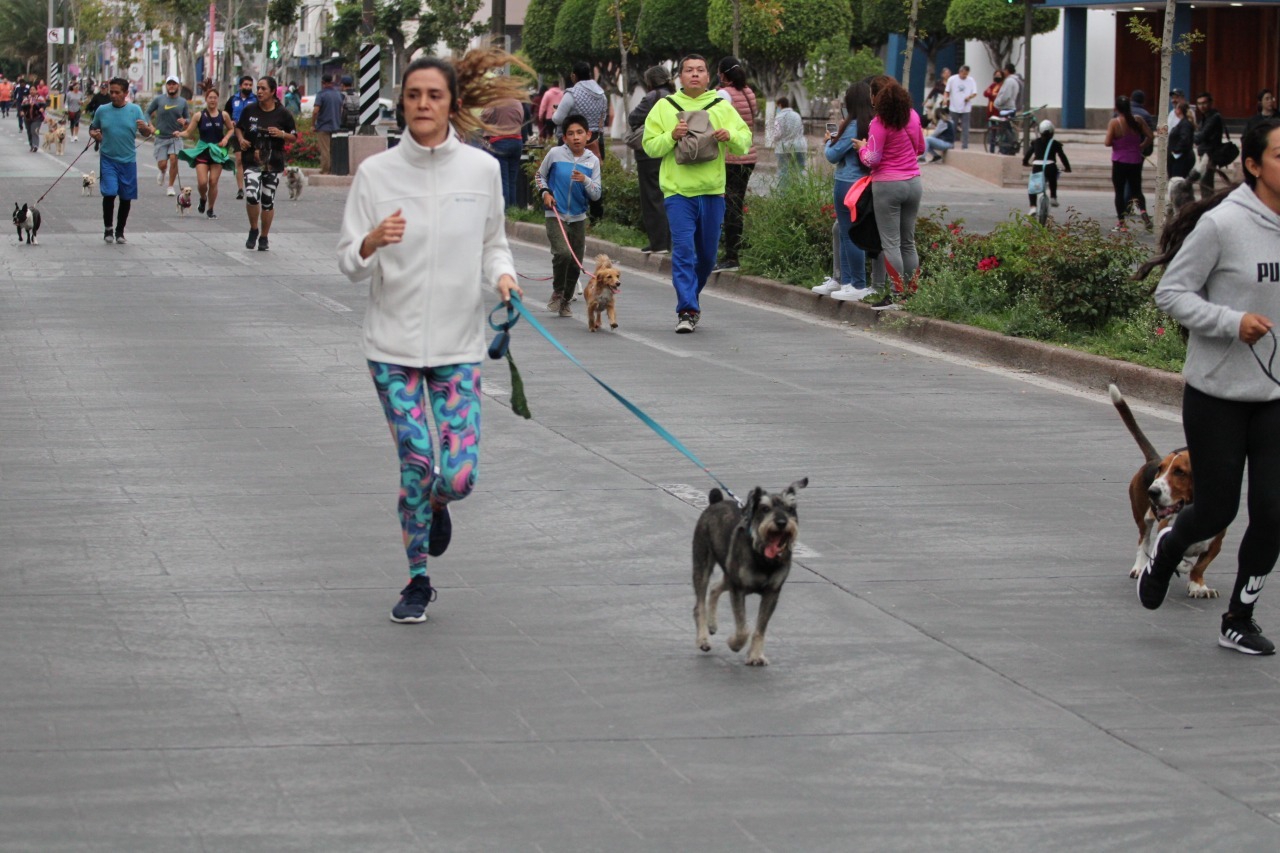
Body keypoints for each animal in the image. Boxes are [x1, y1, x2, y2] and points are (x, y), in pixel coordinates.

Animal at [691, 473, 808, 660]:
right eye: (765, 508)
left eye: (791, 508)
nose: (781, 522)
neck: (763, 556)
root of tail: (716, 501)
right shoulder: (738, 589)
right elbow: (743, 628)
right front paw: (735, 644)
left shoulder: (772, 592)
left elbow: (760, 629)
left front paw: (755, 656)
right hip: (702, 566)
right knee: (699, 605)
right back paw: (703, 639)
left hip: (728, 574)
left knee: (715, 587)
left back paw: (712, 624)